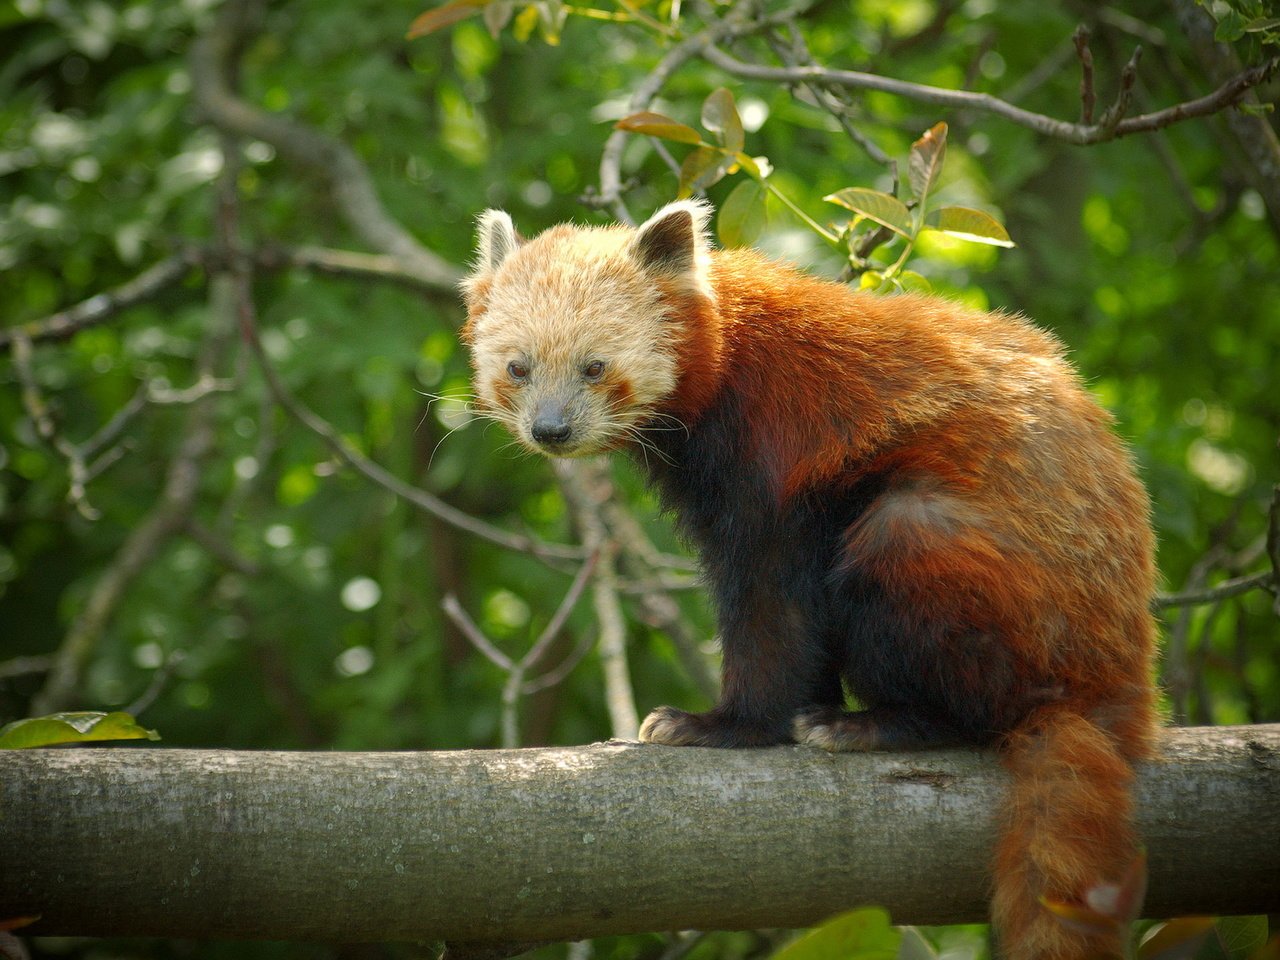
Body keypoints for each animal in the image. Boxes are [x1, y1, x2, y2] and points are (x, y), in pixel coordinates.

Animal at [458, 199, 1162, 957]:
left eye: (594, 367)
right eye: (519, 367)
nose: (550, 430)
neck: (728, 358)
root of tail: (1118, 680)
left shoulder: (776, 462)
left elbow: (771, 606)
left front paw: (726, 725)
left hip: (961, 564)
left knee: (915, 580)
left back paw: (885, 723)